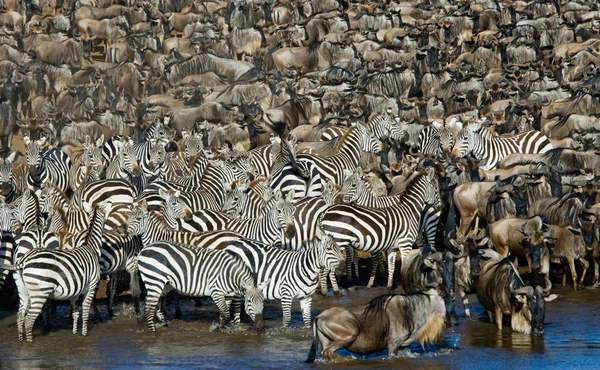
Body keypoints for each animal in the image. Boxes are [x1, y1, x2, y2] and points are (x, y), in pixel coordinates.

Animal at [4, 202, 109, 342]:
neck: (90, 247)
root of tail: (24, 260)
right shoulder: (91, 286)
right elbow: (85, 310)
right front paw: (84, 333)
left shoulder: (76, 289)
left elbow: (76, 312)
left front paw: (74, 331)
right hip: (39, 292)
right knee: (29, 319)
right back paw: (30, 342)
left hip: (22, 288)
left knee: (20, 314)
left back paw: (21, 338)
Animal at [138, 241, 270, 330]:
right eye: (249, 301)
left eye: (263, 301)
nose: (261, 325)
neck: (229, 275)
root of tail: (143, 250)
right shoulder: (216, 292)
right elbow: (225, 313)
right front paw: (218, 328)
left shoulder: (228, 295)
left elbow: (224, 313)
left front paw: (222, 327)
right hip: (155, 279)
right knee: (149, 307)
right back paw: (152, 330)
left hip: (163, 283)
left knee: (153, 301)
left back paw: (162, 322)